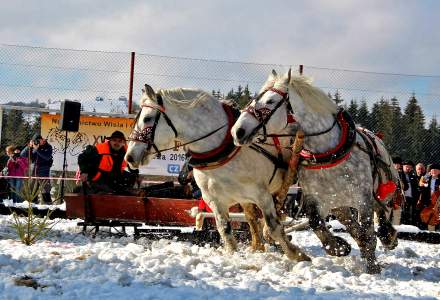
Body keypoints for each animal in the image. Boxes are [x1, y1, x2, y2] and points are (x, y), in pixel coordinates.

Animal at [124, 84, 312, 260]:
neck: (221, 149)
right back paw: (257, 247)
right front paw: (234, 255)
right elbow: (225, 230)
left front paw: (298, 255)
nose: (130, 156)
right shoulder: (215, 200)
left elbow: (274, 227)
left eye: (147, 118)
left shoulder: (262, 195)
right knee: (252, 219)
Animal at [232, 71, 400, 274]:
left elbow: (368, 231)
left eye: (270, 101)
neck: (328, 153)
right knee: (352, 224)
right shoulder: (316, 198)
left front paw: (372, 266)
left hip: (380, 192)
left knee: (381, 212)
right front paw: (338, 247)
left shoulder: (363, 198)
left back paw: (387, 235)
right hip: (340, 205)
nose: (237, 131)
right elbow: (315, 222)